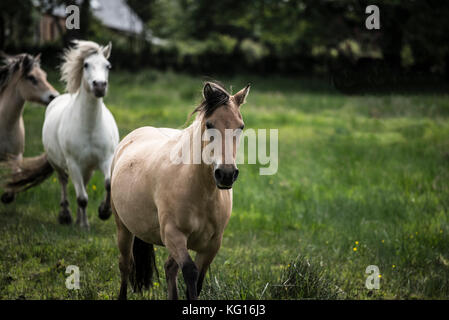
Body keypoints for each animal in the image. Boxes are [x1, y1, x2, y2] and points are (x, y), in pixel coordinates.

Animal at [0, 52, 58, 202]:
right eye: (31, 77)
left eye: (45, 75)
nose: (54, 96)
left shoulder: (16, 156)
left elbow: (16, 174)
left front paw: (7, 195)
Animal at [42, 40, 118, 229]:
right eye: (86, 65)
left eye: (108, 66)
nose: (100, 86)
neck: (89, 128)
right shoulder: (74, 163)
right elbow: (82, 198)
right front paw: (84, 226)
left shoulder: (106, 159)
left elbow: (108, 184)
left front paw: (104, 212)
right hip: (58, 164)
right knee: (64, 182)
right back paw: (66, 217)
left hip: (87, 168)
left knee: (82, 184)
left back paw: (77, 218)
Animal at [108, 81, 248, 298]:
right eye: (209, 124)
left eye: (240, 127)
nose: (226, 174)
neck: (201, 191)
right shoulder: (173, 235)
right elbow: (190, 272)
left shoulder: (212, 245)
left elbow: (197, 281)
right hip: (123, 228)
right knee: (125, 265)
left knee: (169, 268)